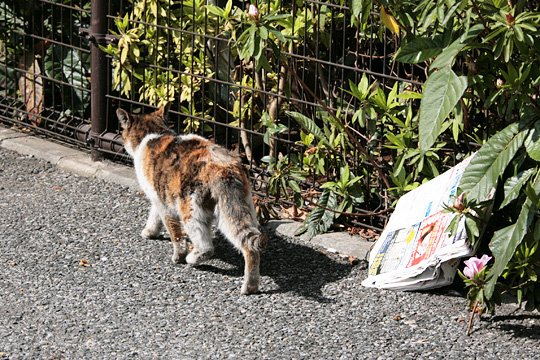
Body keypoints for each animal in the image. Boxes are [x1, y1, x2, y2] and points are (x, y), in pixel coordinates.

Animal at [117, 105, 264, 296]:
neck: (153, 134)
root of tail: (223, 165)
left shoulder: (164, 203)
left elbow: (174, 233)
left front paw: (177, 256)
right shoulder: (160, 195)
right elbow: (154, 216)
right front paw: (150, 231)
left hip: (191, 209)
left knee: (206, 247)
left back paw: (192, 258)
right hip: (237, 208)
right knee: (249, 245)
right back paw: (251, 286)